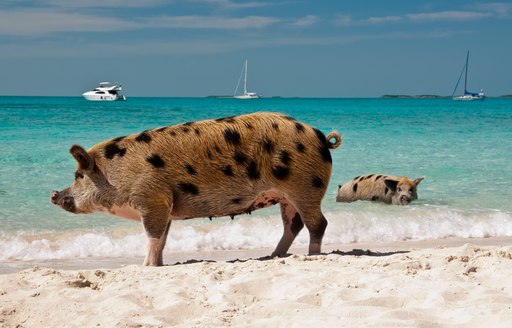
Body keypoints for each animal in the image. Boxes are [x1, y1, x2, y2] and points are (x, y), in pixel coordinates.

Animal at [50, 111, 342, 266]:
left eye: (78, 176)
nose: (54, 194)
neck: (116, 172)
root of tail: (320, 136)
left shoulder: (152, 199)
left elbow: (152, 236)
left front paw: (144, 266)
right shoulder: (165, 204)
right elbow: (162, 238)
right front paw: (158, 265)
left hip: (305, 187)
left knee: (319, 223)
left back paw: (313, 255)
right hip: (287, 195)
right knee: (294, 224)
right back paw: (273, 255)